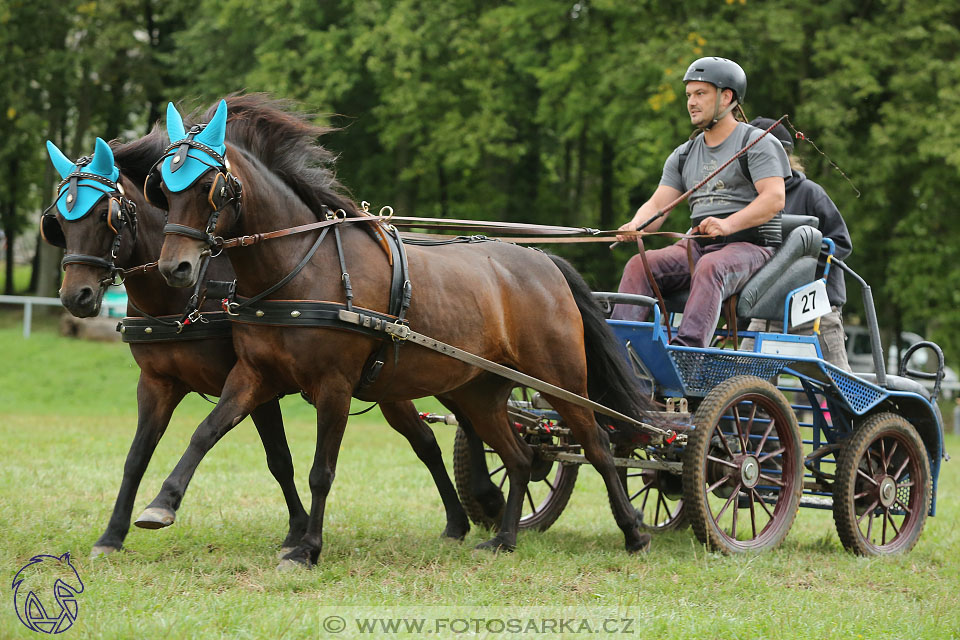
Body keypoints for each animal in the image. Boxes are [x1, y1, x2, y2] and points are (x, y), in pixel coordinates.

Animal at [46, 122, 472, 556]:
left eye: (107, 216)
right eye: (59, 222)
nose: (75, 295)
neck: (185, 298)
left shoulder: (259, 386)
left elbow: (272, 456)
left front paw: (298, 531)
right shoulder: (158, 382)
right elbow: (137, 456)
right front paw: (111, 536)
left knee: (435, 437)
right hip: (388, 384)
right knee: (429, 438)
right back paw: (461, 519)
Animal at [146, 95, 656, 564]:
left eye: (208, 185)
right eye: (164, 189)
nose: (175, 268)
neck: (301, 268)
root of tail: (543, 259)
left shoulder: (335, 386)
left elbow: (321, 471)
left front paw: (308, 547)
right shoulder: (255, 375)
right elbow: (207, 431)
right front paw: (160, 504)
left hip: (559, 379)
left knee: (597, 445)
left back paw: (634, 532)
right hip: (481, 391)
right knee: (520, 457)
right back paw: (506, 538)